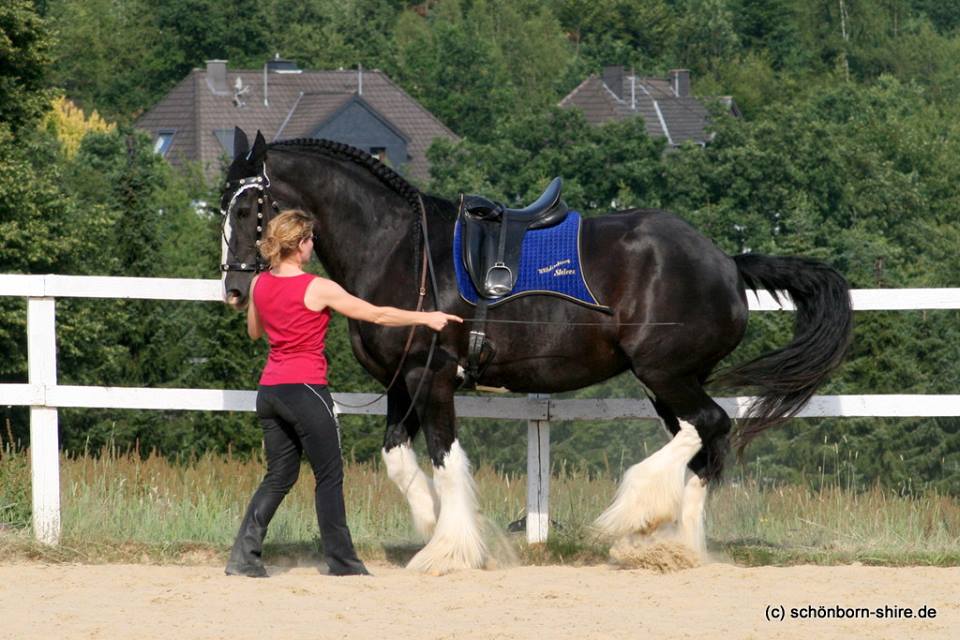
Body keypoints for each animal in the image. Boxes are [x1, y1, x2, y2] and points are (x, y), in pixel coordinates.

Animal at [220, 129, 852, 573]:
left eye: (248, 208)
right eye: (222, 202)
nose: (234, 289)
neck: (400, 249)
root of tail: (726, 262)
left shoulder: (432, 378)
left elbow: (446, 459)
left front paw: (450, 550)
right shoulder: (401, 383)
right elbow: (400, 461)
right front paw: (433, 528)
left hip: (665, 372)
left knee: (709, 426)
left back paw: (636, 510)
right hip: (666, 381)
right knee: (704, 443)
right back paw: (675, 544)